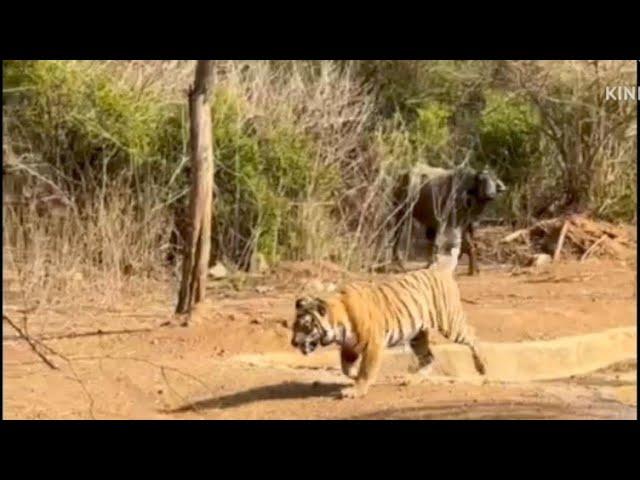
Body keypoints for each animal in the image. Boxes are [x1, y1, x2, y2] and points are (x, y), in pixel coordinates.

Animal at [290, 266, 484, 398]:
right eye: (294, 325)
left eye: (306, 325)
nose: (293, 342)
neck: (338, 324)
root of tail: (439, 269)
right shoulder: (349, 346)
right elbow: (346, 368)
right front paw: (354, 377)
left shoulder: (372, 344)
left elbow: (366, 369)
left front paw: (356, 390)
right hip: (417, 335)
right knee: (428, 357)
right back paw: (412, 379)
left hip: (450, 323)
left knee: (473, 334)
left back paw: (482, 367)